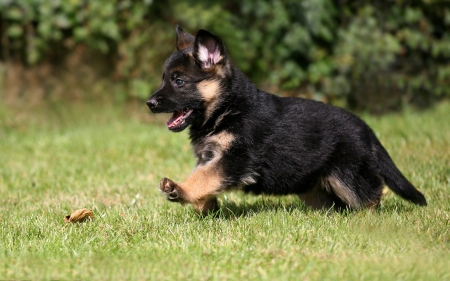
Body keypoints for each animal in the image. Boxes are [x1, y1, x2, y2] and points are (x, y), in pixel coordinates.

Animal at [146, 26, 428, 214]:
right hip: (314, 185)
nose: (149, 103)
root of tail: (366, 129)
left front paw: (180, 190)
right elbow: (203, 177)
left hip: (347, 176)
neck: (227, 108)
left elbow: (204, 178)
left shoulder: (236, 159)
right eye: (164, 79)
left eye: (179, 81)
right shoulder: (210, 157)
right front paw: (204, 206)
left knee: (371, 193)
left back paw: (369, 218)